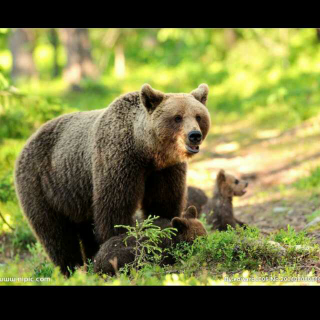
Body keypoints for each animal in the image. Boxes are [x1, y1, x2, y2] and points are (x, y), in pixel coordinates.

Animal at [14, 83, 210, 276]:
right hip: (43, 183)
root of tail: (27, 141)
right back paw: (70, 269)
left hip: (77, 196)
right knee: (56, 234)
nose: (194, 135)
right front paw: (119, 240)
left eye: (198, 116)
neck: (145, 151)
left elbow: (163, 202)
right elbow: (115, 208)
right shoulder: (118, 161)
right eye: (177, 117)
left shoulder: (165, 171)